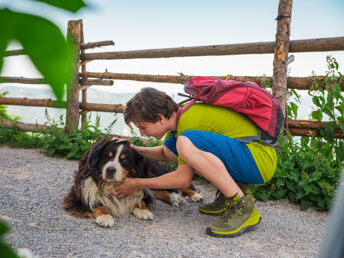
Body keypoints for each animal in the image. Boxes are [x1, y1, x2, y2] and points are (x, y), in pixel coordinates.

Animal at [62, 136, 202, 227]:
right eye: (107, 156)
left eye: (124, 159)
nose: (110, 170)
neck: (111, 185)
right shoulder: (78, 195)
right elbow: (97, 203)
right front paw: (105, 217)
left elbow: (140, 196)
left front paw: (142, 210)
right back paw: (175, 198)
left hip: (152, 172)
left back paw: (193, 195)